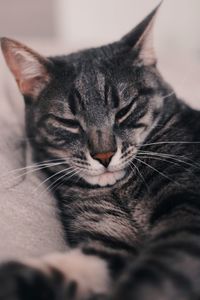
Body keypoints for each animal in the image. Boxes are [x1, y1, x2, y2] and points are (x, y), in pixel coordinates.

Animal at [0, 4, 200, 300]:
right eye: (69, 122)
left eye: (124, 110)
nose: (104, 156)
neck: (120, 192)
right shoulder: (106, 241)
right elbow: (69, 269)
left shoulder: (187, 217)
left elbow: (158, 273)